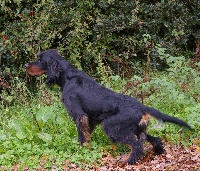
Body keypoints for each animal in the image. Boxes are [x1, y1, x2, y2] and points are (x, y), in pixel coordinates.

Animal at [25, 49, 191, 164]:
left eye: (39, 59)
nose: (26, 65)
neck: (67, 76)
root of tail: (142, 107)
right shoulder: (90, 118)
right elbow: (87, 134)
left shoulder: (80, 115)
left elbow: (82, 136)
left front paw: (81, 150)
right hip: (137, 128)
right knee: (154, 140)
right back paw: (157, 152)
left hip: (112, 127)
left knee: (137, 146)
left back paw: (126, 160)